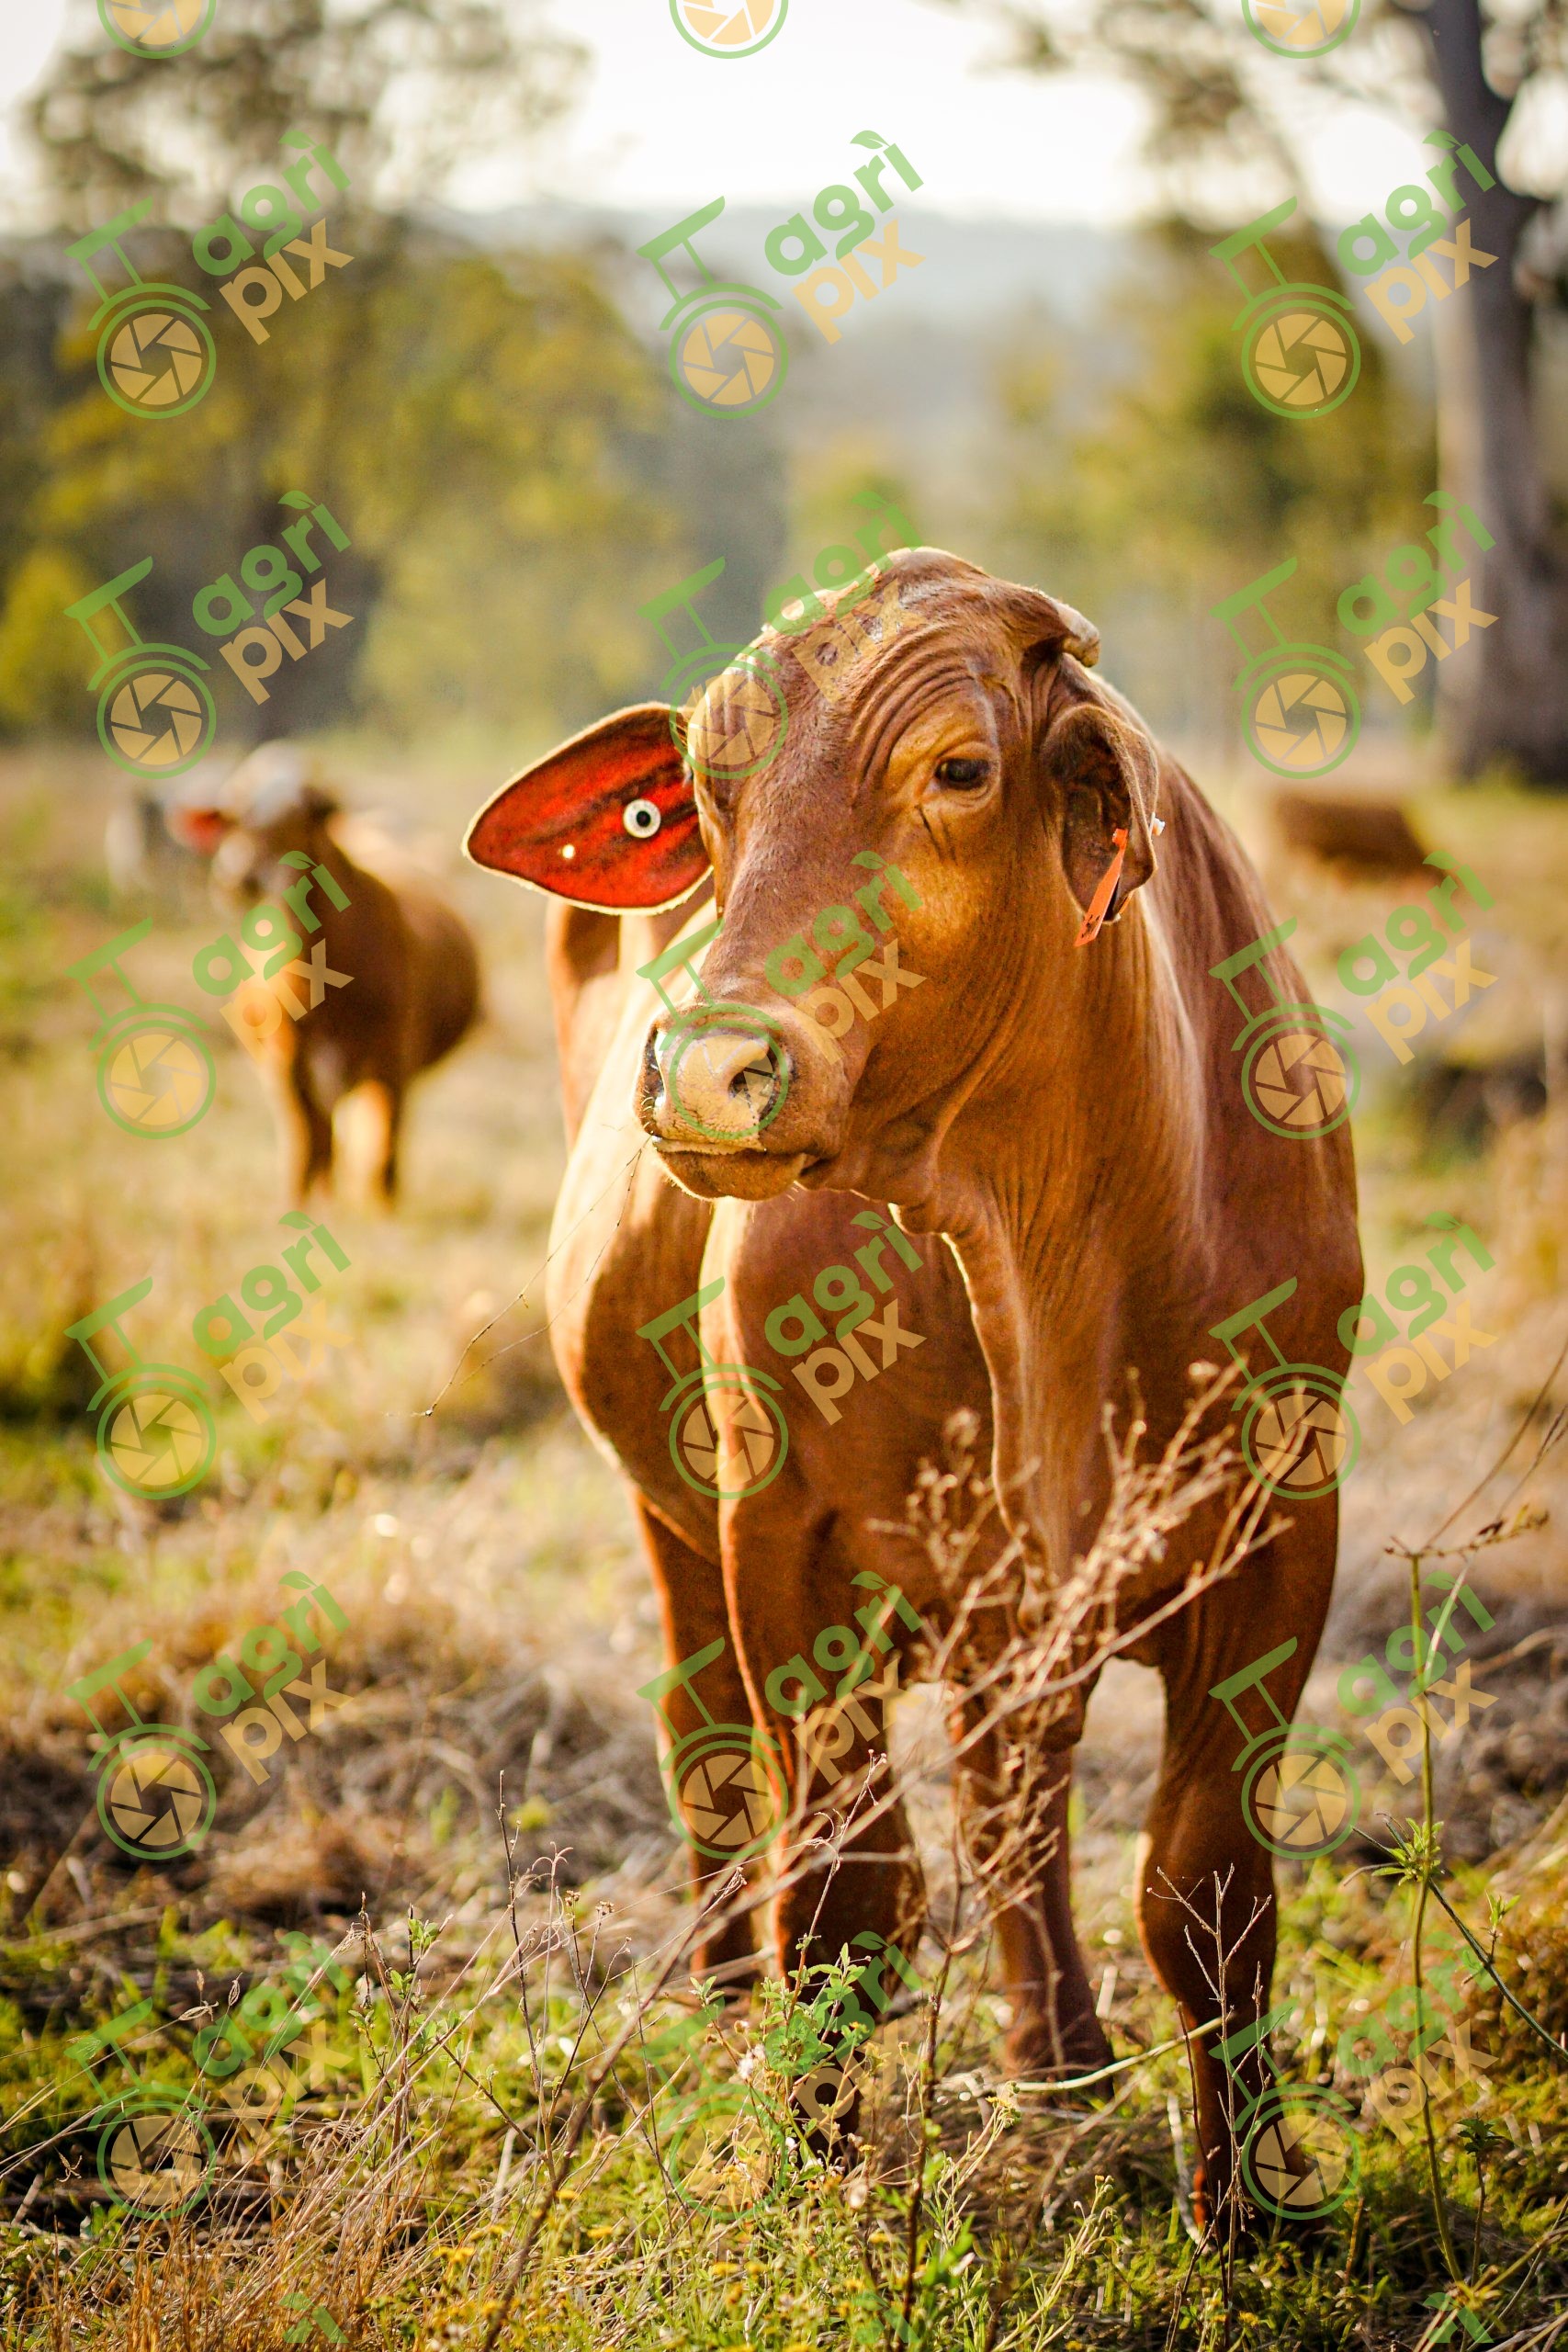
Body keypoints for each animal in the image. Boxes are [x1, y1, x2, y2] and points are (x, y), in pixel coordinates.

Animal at [174, 744, 480, 1203]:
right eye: (232, 816)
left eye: (297, 816)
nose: (237, 876)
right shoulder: (287, 1067)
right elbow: (304, 1154)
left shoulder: (393, 1061)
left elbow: (383, 1162)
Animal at [464, 547, 1363, 2224]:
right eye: (702, 789)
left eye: (957, 770)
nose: (708, 1071)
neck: (1037, 1244)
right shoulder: (785, 1546)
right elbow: (842, 1898)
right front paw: (814, 2173)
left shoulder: (1284, 1526)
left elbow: (1205, 1886)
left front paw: (1243, 2206)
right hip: (673, 1525)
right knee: (707, 1750)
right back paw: (729, 2012)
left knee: (1018, 1796)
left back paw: (1059, 2053)